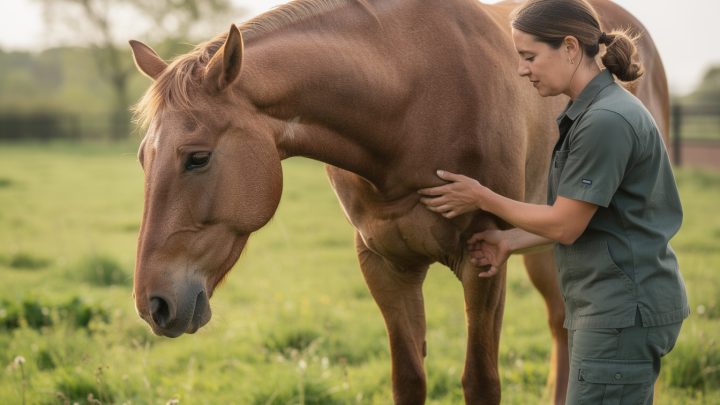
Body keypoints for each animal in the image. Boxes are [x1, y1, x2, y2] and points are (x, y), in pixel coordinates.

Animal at [129, 0, 669, 403]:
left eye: (197, 158)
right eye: (142, 158)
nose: (154, 304)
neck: (414, 100)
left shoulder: (484, 260)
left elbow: (481, 382)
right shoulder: (386, 265)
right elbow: (408, 380)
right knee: (563, 323)